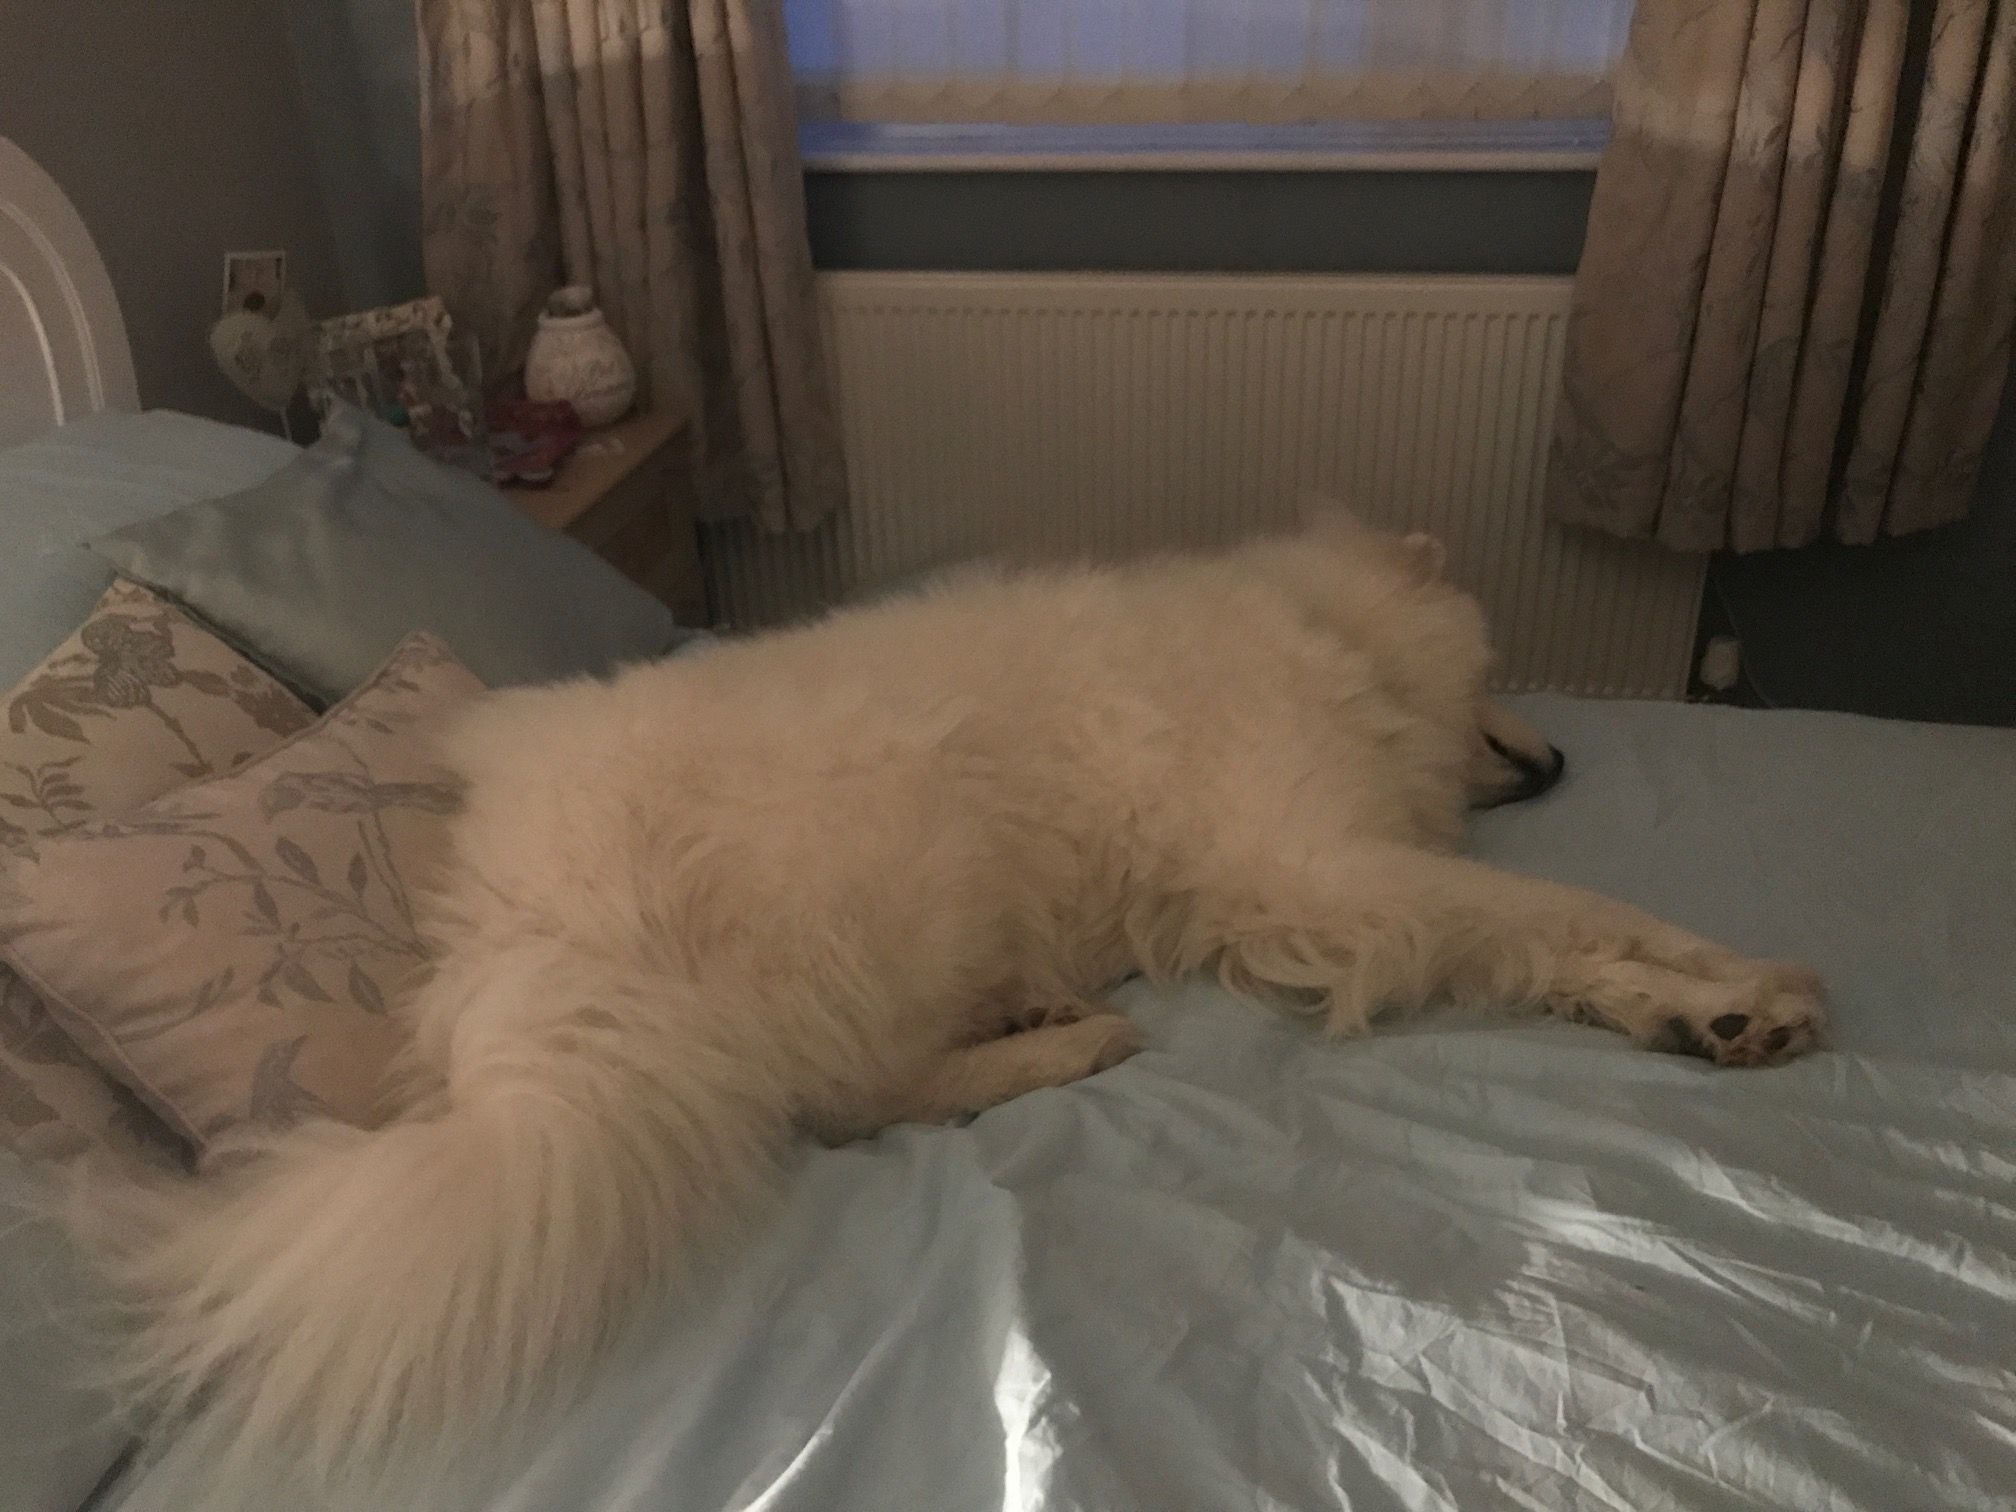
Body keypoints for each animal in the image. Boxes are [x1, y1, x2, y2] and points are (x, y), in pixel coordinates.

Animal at [82, 512, 1830, 1507]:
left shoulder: (1344, 880)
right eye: (1499, 664)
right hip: (905, 843)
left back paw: (1038, 999)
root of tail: (522, 932)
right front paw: (1746, 984)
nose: (1566, 752)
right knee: (845, 1099)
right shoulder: (1329, 866)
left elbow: (1550, 941)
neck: (1318, 635)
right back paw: (1062, 1037)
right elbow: (1573, 916)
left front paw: (1696, 1018)